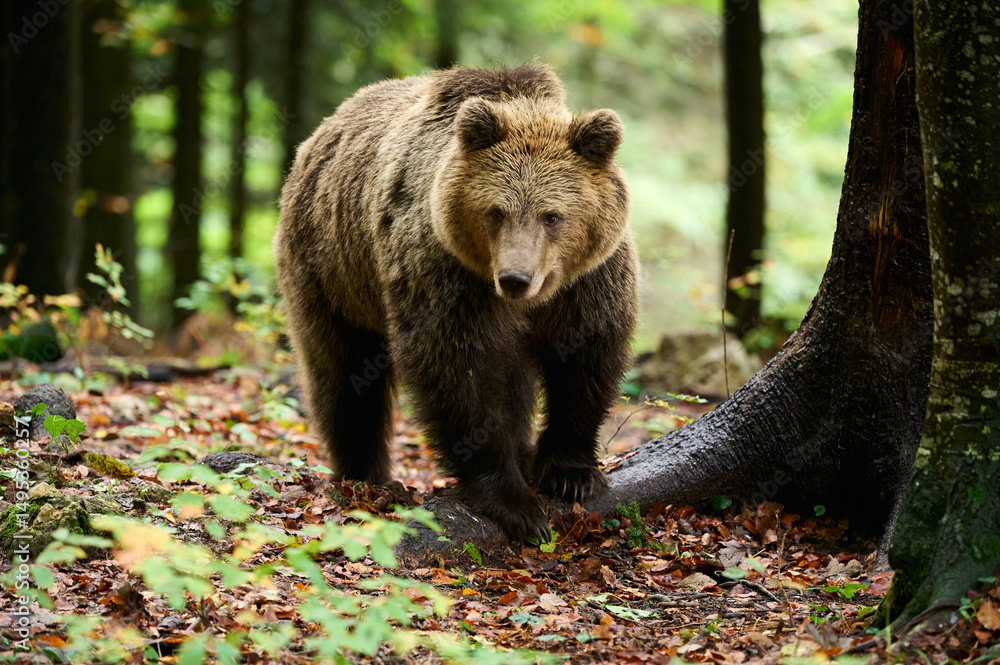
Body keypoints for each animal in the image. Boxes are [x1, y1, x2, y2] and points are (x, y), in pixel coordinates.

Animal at [274, 64, 639, 542]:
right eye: (496, 211)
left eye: (553, 215)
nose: (515, 278)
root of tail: (319, 136)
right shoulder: (447, 274)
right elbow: (458, 371)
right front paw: (514, 502)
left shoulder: (588, 280)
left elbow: (587, 358)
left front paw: (570, 474)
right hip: (332, 271)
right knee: (342, 372)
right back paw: (362, 472)